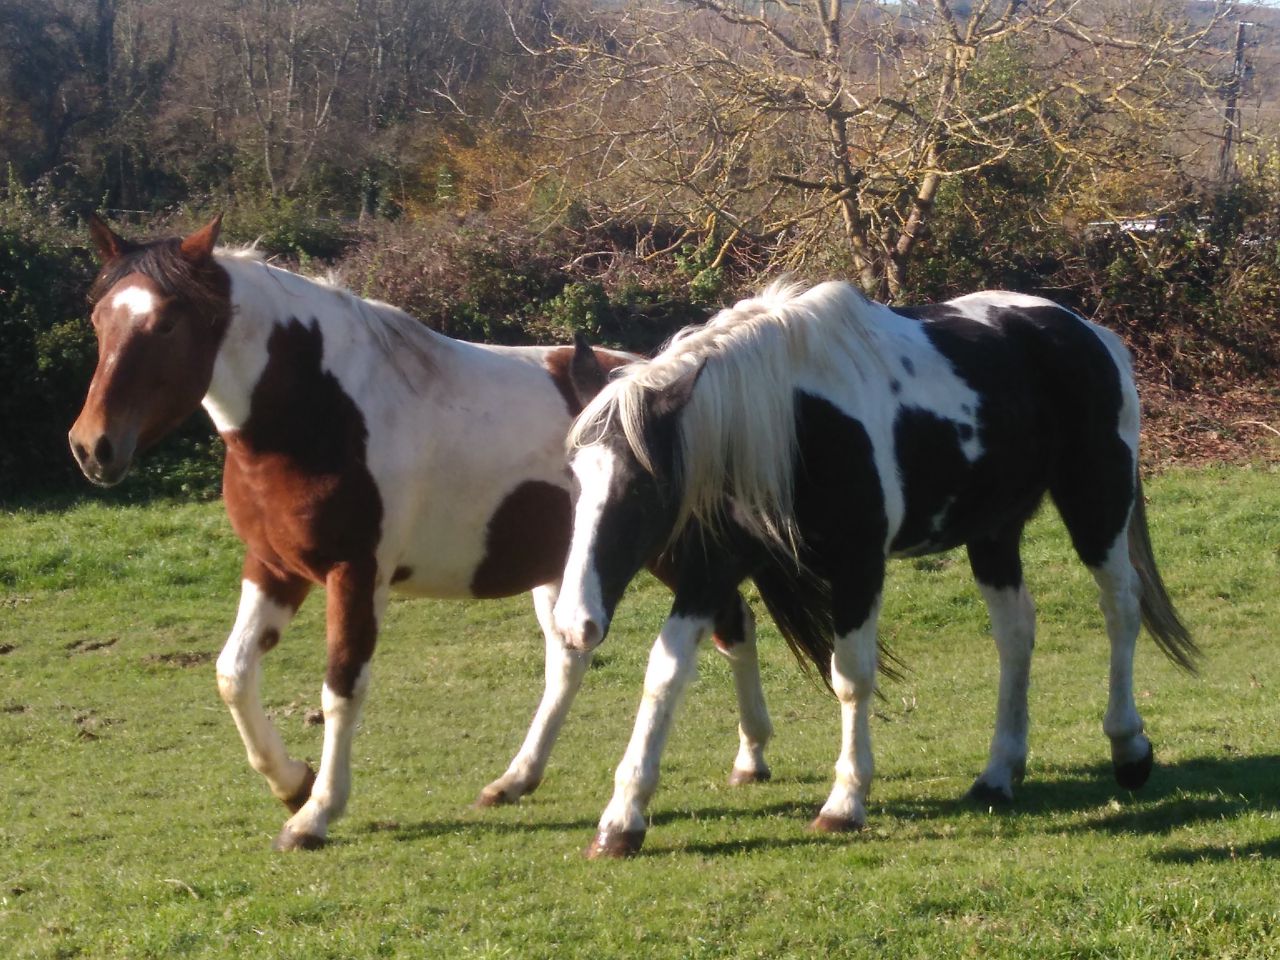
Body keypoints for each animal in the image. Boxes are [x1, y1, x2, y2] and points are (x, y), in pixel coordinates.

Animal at [67, 215, 778, 851]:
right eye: (99, 319)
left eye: (165, 322)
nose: (92, 447)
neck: (319, 409)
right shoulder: (273, 567)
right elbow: (232, 673)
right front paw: (292, 782)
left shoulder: (356, 576)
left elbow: (341, 687)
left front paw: (315, 814)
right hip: (567, 569)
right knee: (576, 659)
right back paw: (518, 780)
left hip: (660, 552)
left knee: (728, 622)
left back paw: (750, 757)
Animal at [552, 279, 1197, 858]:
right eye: (575, 477)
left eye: (642, 486)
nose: (575, 623)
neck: (793, 420)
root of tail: (1089, 333)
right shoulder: (714, 567)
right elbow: (665, 672)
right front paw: (622, 819)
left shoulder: (857, 567)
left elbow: (851, 677)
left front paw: (844, 803)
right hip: (993, 534)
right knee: (1016, 632)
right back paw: (999, 772)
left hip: (1096, 504)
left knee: (1120, 608)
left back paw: (1128, 748)